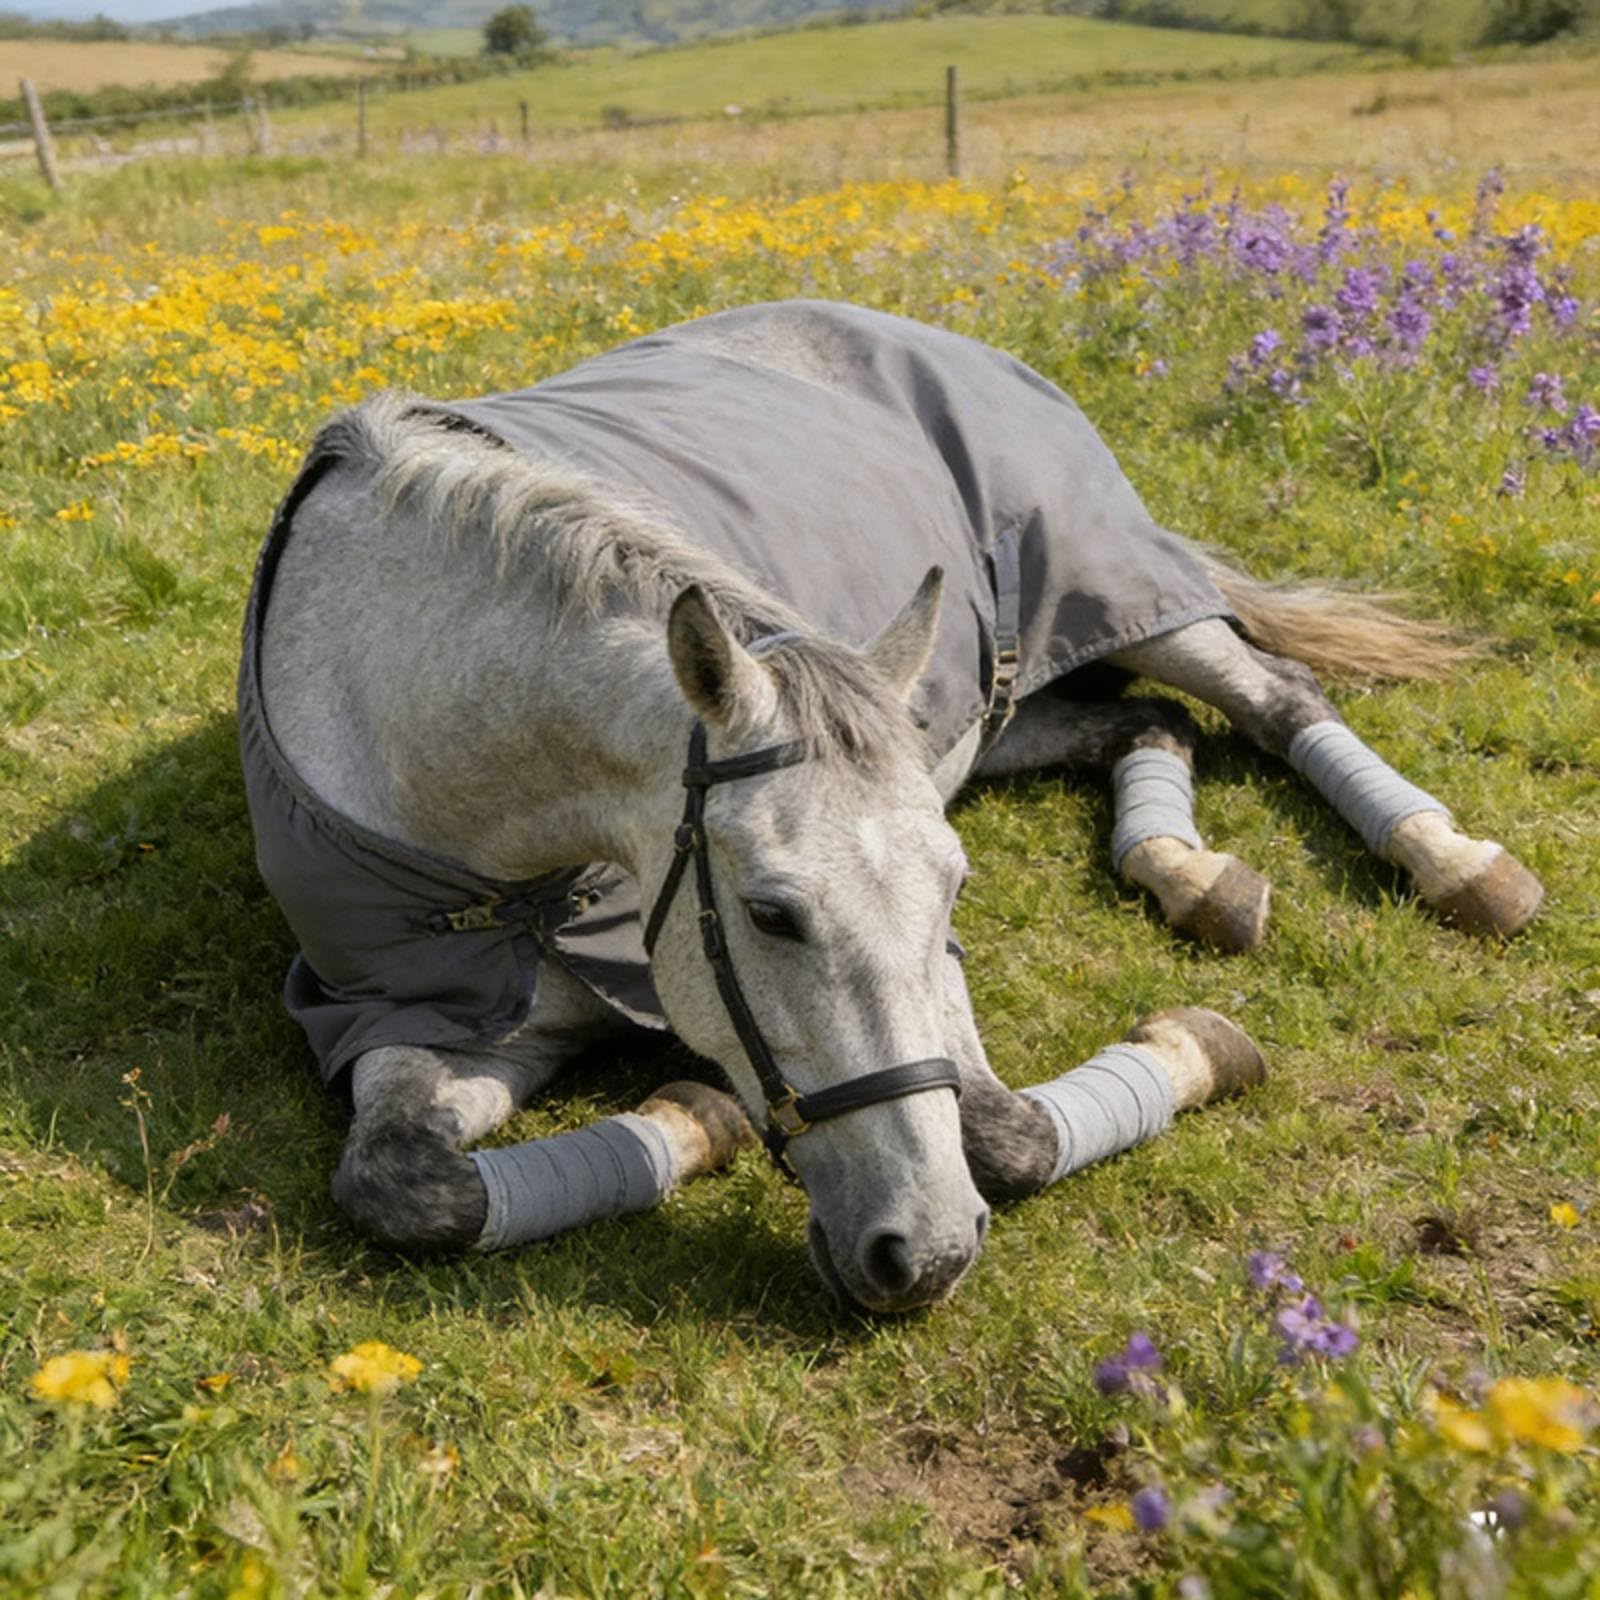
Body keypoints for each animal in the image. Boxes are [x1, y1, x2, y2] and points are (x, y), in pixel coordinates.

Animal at [241, 299, 1543, 1314]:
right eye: (770, 915)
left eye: (955, 892)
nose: (927, 1252)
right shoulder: (417, 1011)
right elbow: (406, 1189)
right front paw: (696, 1119)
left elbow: (1006, 1137)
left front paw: (1187, 1050)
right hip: (985, 706)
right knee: (1143, 723)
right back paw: (1189, 871)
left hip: (1121, 593)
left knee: (1271, 694)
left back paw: (1453, 861)